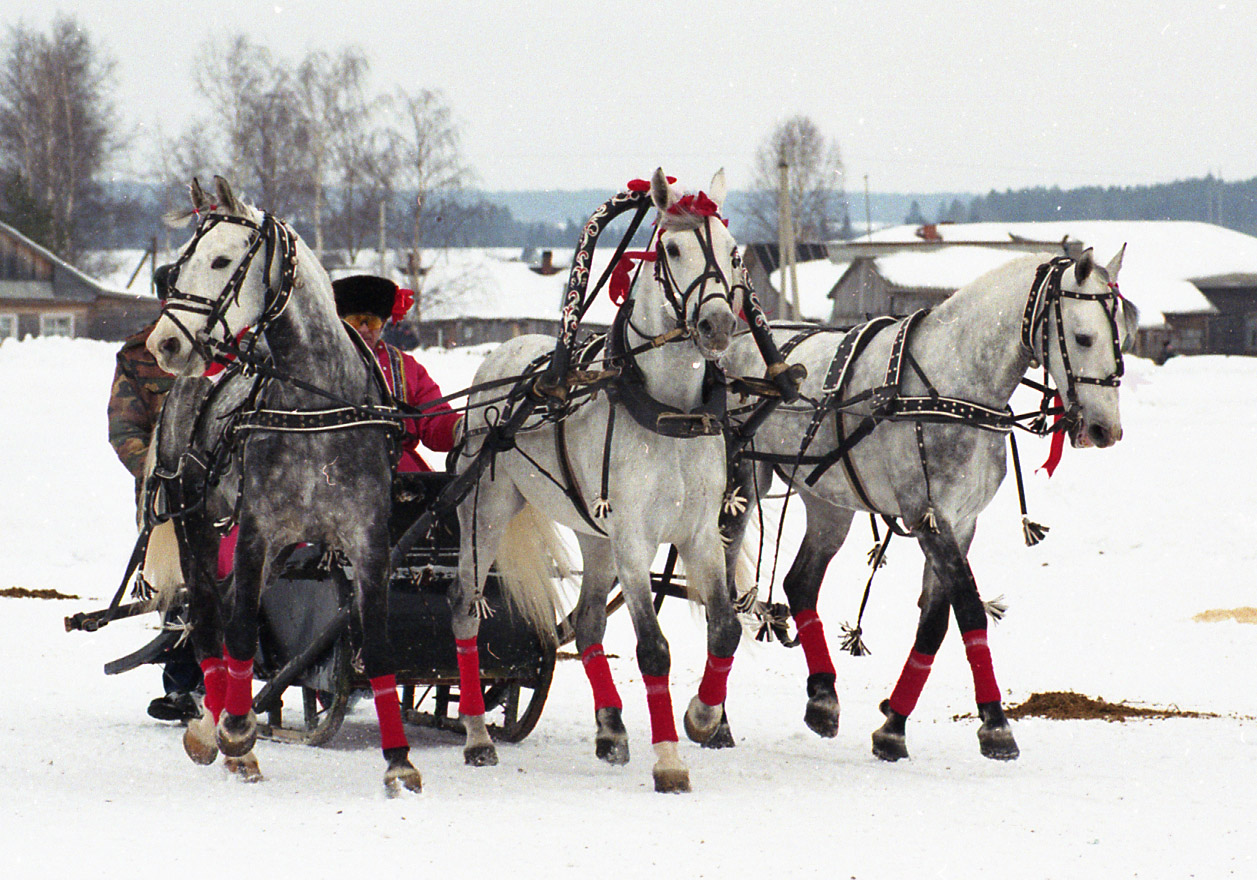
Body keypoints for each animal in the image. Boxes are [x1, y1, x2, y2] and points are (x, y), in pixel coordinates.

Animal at [452, 168, 744, 794]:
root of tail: (503, 358)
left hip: (594, 533)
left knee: (586, 624)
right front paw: (670, 760)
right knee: (464, 609)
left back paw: (610, 729)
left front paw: (702, 717)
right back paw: (477, 737)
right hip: (485, 513)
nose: (717, 325)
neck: (668, 411)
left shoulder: (699, 534)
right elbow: (653, 649)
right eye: (671, 249)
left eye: (734, 252)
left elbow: (727, 629)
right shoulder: (634, 540)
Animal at [719, 247, 1141, 764]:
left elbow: (935, 623)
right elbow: (970, 611)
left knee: (800, 583)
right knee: (717, 583)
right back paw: (715, 716)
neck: (953, 385)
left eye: (1122, 337)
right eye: (1083, 337)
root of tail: (732, 347)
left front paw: (893, 725)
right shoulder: (930, 518)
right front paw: (996, 724)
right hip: (740, 484)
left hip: (827, 499)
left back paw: (822, 697)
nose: (1105, 430)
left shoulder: (961, 521)